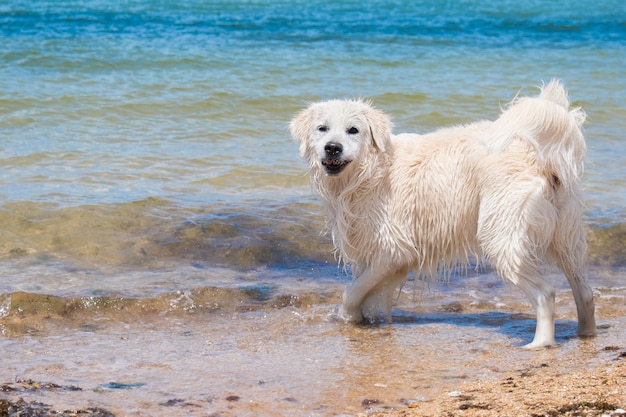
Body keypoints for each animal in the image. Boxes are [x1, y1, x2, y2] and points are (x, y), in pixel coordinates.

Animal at [292, 81, 596, 348]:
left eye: (353, 130)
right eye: (322, 128)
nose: (333, 147)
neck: (370, 171)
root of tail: (537, 155)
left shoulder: (394, 249)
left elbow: (353, 291)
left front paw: (346, 316)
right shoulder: (374, 250)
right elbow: (368, 290)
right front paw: (364, 319)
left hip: (500, 235)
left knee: (546, 293)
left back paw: (540, 343)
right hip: (566, 238)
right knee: (585, 292)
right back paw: (586, 334)